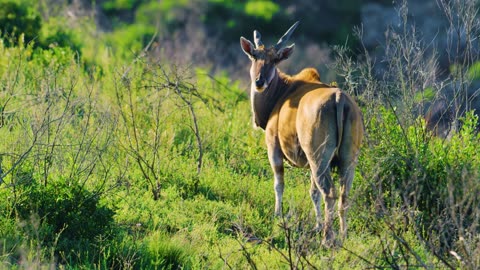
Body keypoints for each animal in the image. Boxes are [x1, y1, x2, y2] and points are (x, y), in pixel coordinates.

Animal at [240, 20, 364, 245]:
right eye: (254, 56)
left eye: (275, 60)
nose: (259, 81)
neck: (283, 91)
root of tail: (339, 98)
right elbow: (313, 192)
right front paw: (316, 225)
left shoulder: (274, 148)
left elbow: (279, 184)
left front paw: (277, 216)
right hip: (347, 160)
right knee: (344, 195)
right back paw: (342, 236)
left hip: (318, 158)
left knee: (330, 192)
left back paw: (327, 238)